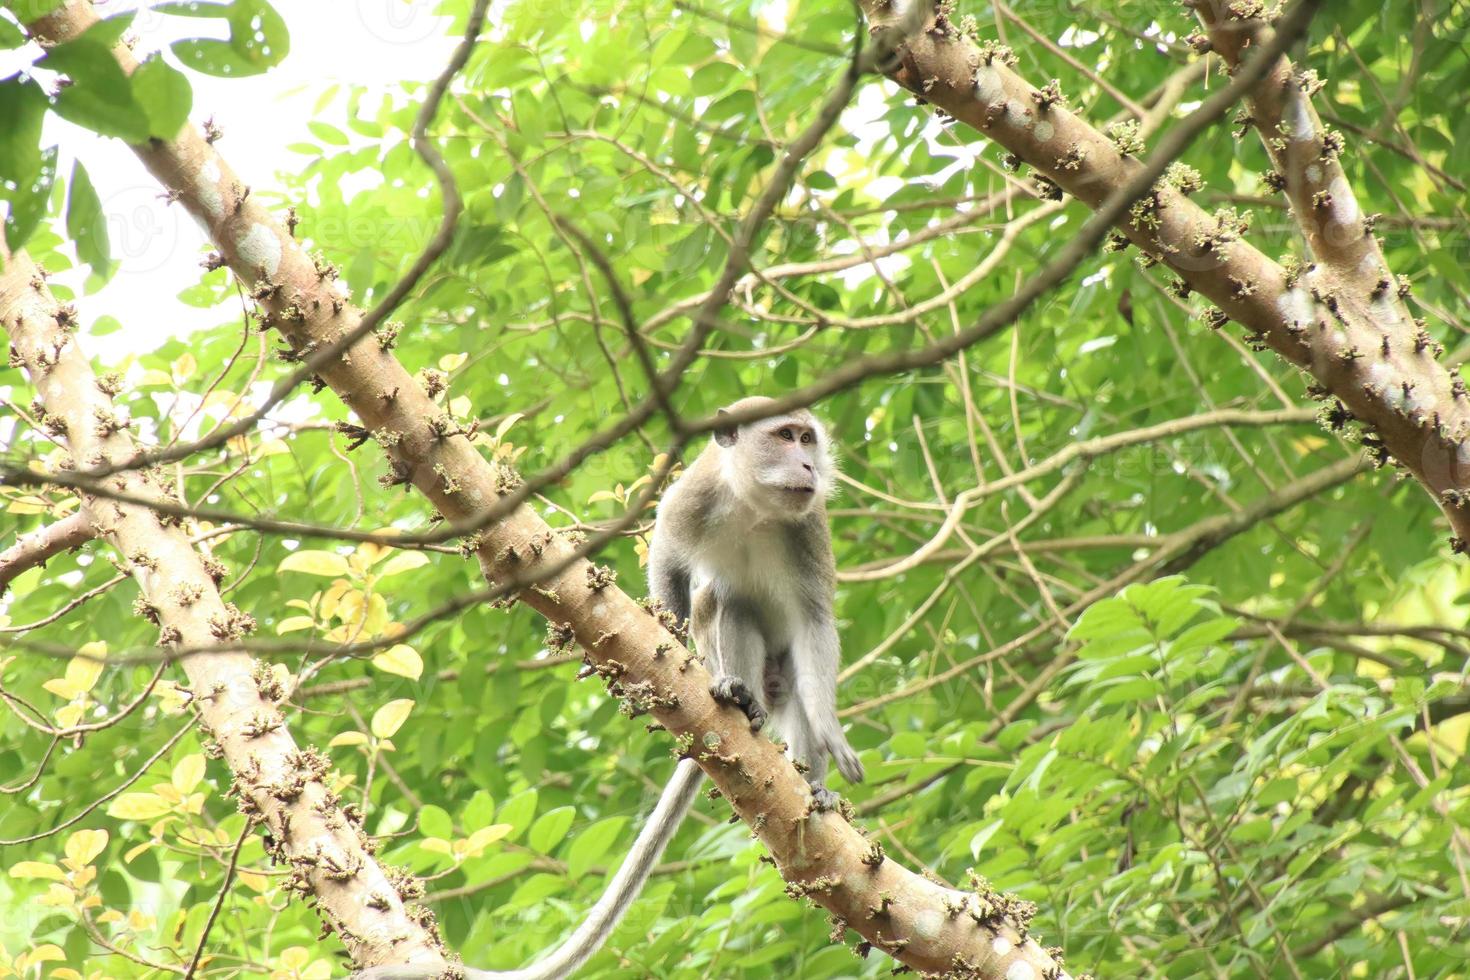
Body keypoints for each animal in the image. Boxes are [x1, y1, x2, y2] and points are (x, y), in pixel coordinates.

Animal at [355, 393, 858, 975]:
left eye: (808, 439)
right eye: (784, 436)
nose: (808, 466)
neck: (755, 508)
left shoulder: (808, 528)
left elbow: (816, 624)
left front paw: (831, 733)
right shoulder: (695, 497)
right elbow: (668, 555)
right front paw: (670, 634)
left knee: (793, 679)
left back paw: (812, 780)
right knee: (724, 601)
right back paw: (737, 694)